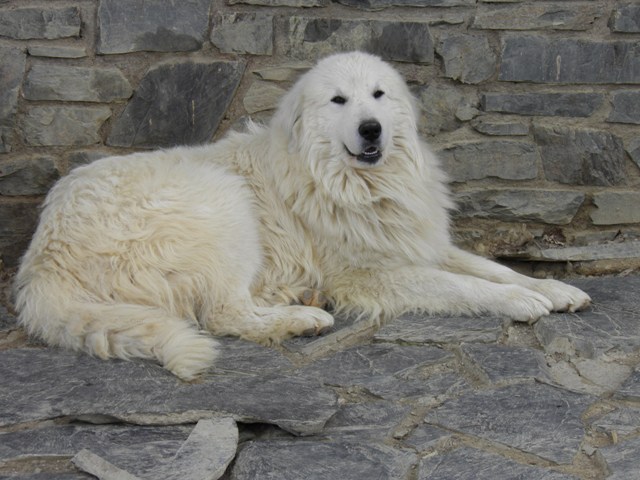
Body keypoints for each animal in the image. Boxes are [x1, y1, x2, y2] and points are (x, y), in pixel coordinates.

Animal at [13, 52, 592, 380]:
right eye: (338, 100)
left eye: (378, 94)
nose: (370, 129)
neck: (353, 182)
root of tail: (43, 259)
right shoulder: (368, 273)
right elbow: (463, 286)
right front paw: (519, 301)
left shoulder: (417, 242)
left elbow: (491, 266)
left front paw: (554, 288)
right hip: (223, 199)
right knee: (224, 313)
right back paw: (302, 319)